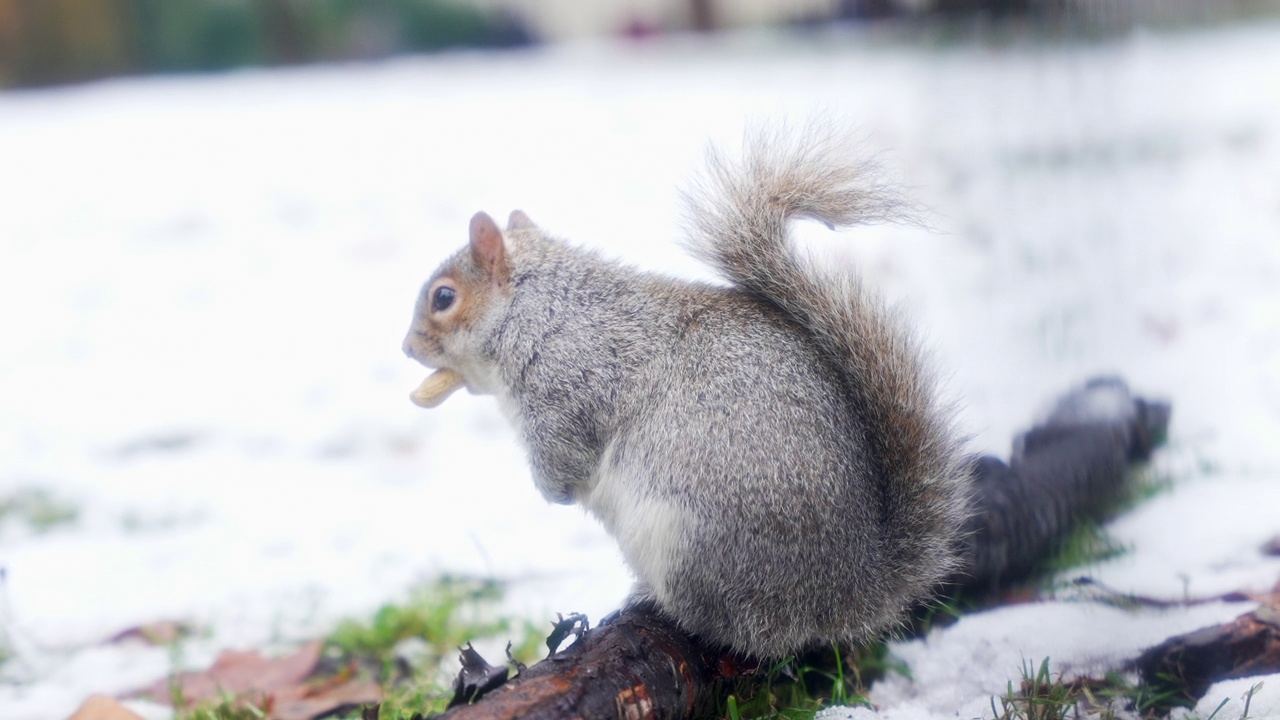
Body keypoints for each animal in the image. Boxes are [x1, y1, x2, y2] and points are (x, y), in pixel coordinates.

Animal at [401, 124, 1172, 655]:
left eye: (442, 298)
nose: (406, 348)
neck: (539, 309)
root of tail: (853, 594)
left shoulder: (570, 385)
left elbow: (563, 461)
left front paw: (550, 491)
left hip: (691, 539)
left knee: (736, 628)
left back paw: (649, 608)